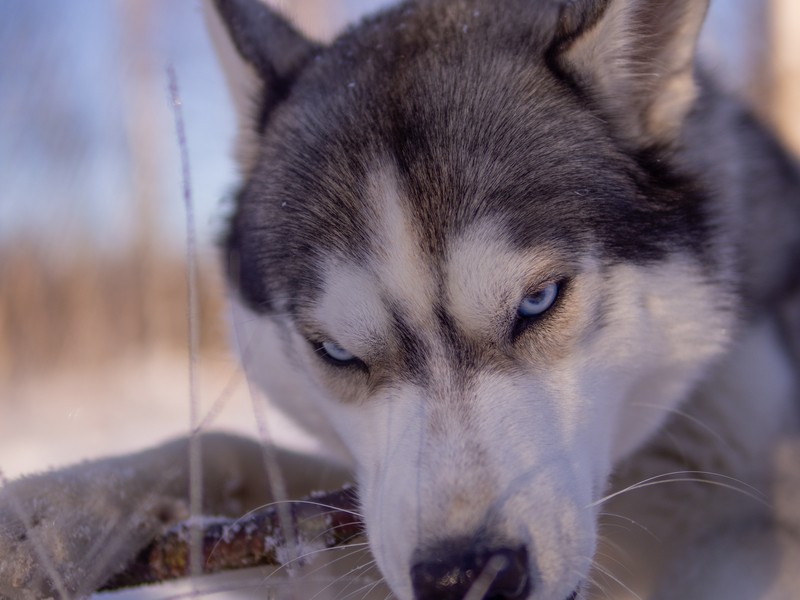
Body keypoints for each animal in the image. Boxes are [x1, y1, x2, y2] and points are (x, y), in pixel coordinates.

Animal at [1, 0, 800, 596]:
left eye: (538, 300)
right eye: (335, 351)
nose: (465, 575)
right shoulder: (358, 514)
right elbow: (223, 453)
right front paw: (44, 516)